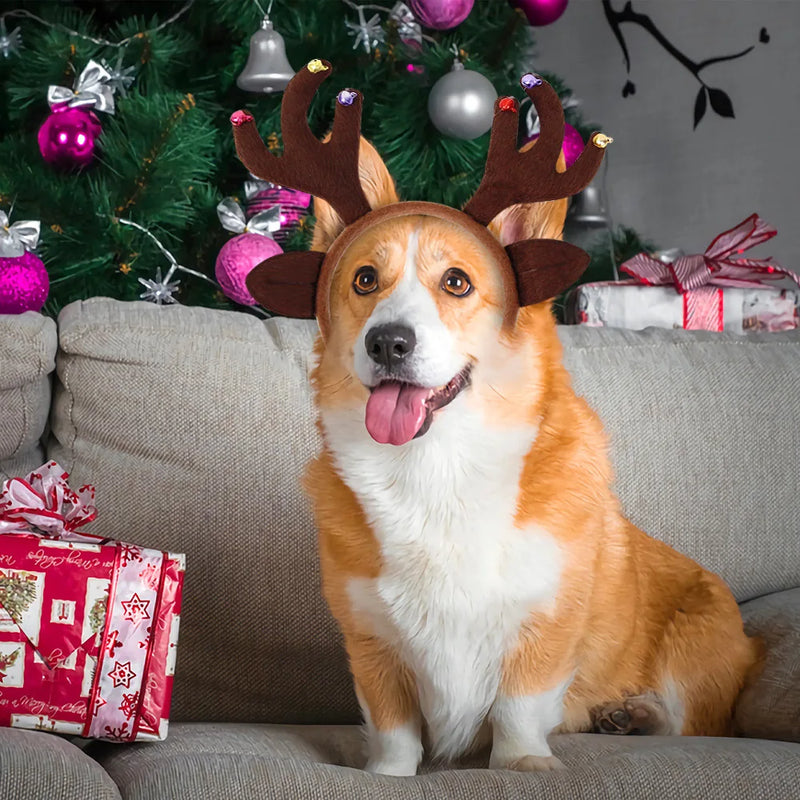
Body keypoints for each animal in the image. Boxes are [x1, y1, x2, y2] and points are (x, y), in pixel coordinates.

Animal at [234, 61, 760, 776]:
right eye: (365, 280)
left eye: (457, 282)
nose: (387, 343)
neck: (437, 467)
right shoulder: (370, 642)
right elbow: (393, 728)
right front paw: (387, 776)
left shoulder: (545, 627)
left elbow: (519, 707)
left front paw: (524, 766)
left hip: (698, 647)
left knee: (687, 723)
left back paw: (634, 714)